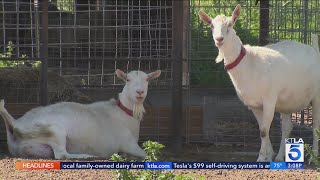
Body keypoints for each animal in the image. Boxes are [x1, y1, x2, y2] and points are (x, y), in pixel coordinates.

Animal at [0, 69, 161, 159]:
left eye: (147, 79)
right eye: (128, 79)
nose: (140, 92)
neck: (123, 114)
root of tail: (14, 125)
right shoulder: (127, 143)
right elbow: (147, 155)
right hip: (54, 131)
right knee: (61, 155)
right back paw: (88, 156)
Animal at [199, 3, 320, 162]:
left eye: (230, 24)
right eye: (212, 26)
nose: (219, 39)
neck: (249, 63)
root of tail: (315, 51)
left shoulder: (269, 99)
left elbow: (263, 130)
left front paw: (262, 157)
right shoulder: (254, 104)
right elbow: (262, 130)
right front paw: (268, 155)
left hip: (316, 95)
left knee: (316, 125)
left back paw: (314, 156)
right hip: (287, 100)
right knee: (287, 127)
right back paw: (280, 157)